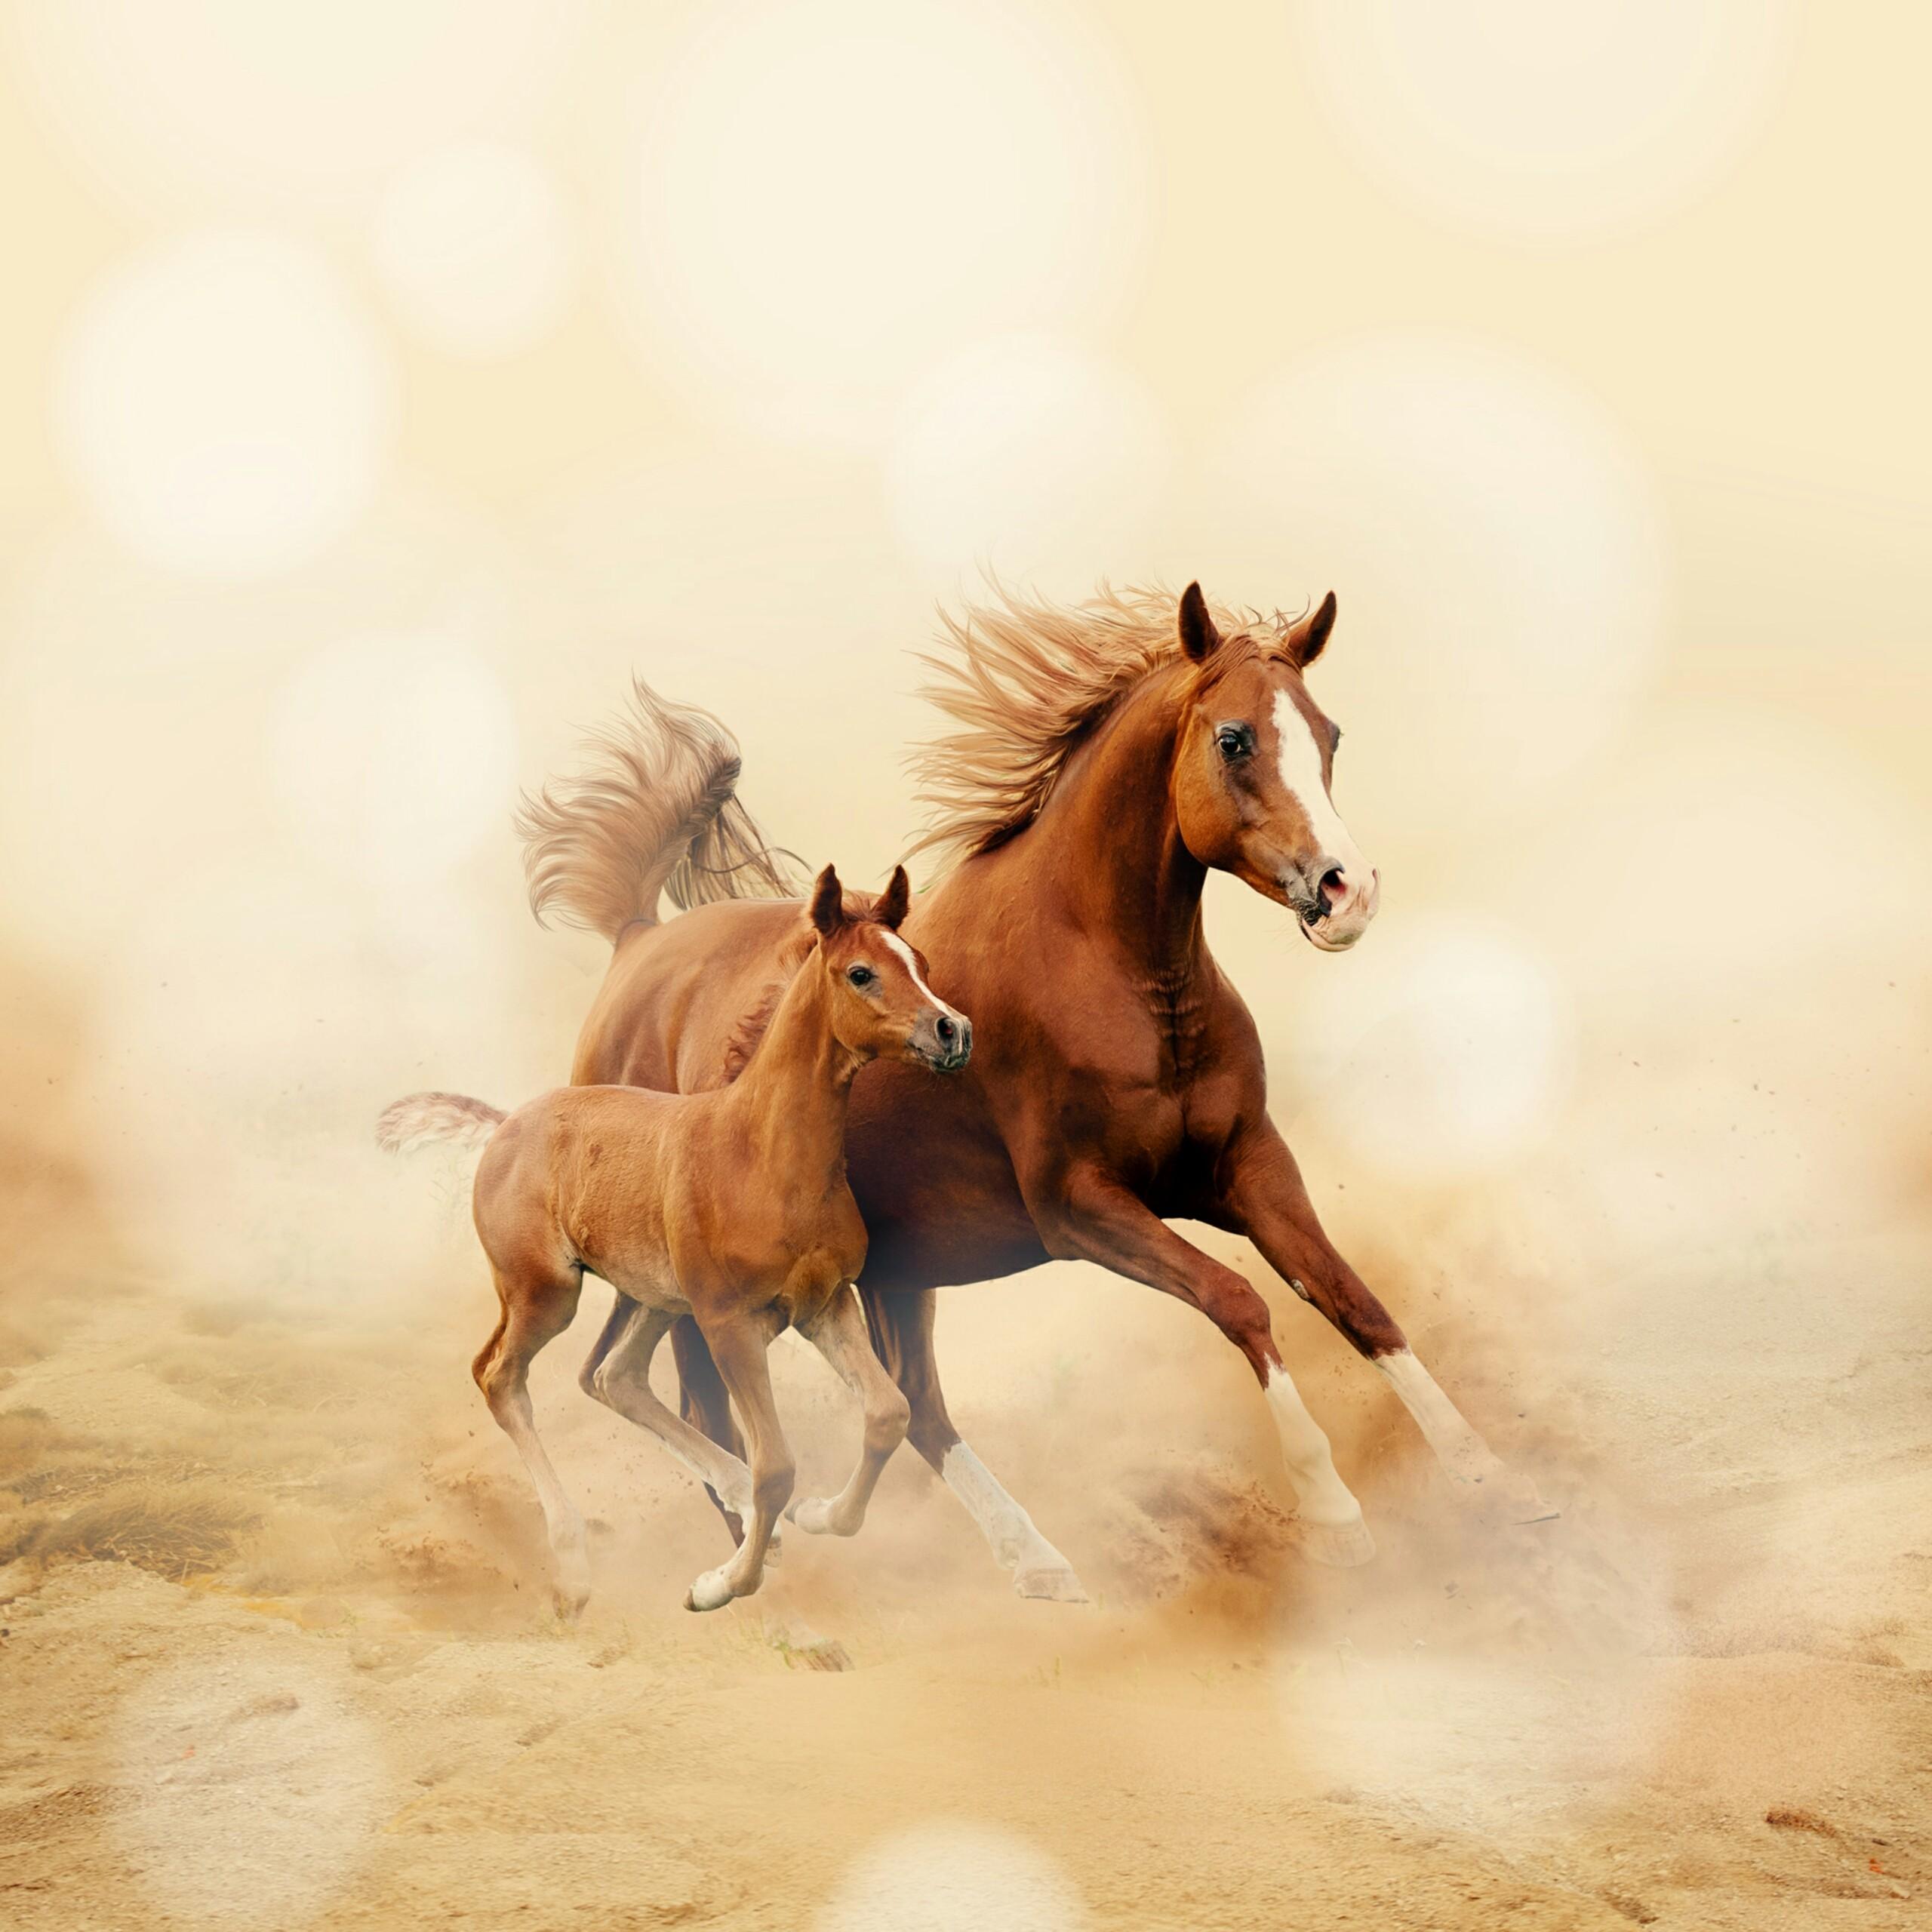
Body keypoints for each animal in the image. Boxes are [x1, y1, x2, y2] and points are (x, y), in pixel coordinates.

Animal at [376, 864, 972, 1617]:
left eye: (918, 961)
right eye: (861, 972)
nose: (953, 1030)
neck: (762, 1156)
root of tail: (506, 1123)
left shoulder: (824, 1305)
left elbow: (888, 1414)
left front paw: (817, 1517)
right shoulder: (729, 1324)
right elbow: (778, 1465)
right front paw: (719, 1586)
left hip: (654, 1297)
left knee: (614, 1375)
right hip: (547, 1293)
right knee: (500, 1375)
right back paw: (574, 1565)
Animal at [519, 580, 1551, 1602]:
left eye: (1329, 733)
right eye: (1233, 738)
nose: (1348, 893)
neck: (1113, 975)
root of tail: (637, 941)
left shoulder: (1249, 1166)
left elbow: (1353, 1299)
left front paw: (1494, 1483)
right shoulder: (1080, 1206)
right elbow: (1240, 1302)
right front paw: (1336, 1517)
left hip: (896, 1266)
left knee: (911, 1404)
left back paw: (1027, 1558)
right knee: (686, 1386)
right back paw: (757, 1548)